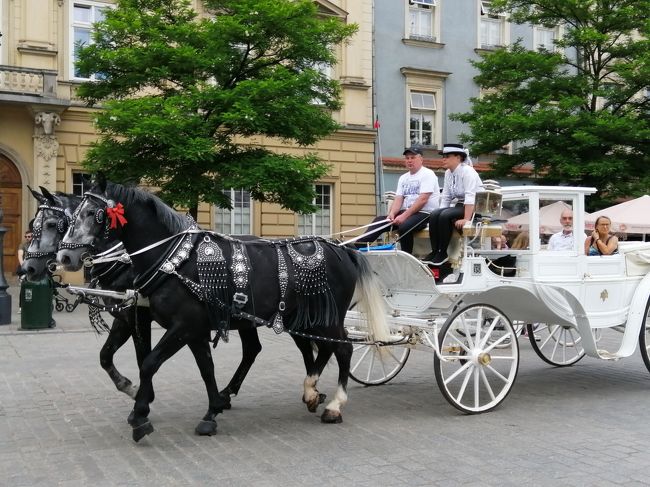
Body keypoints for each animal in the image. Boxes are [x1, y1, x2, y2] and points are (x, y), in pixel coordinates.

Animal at [57, 179, 384, 442]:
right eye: (66, 220)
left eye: (94, 214)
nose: (64, 257)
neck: (173, 261)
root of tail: (342, 249)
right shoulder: (190, 328)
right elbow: (204, 368)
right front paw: (211, 411)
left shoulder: (181, 325)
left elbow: (149, 362)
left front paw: (140, 416)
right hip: (301, 318)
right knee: (315, 349)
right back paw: (310, 391)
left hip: (327, 316)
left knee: (342, 349)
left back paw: (333, 405)